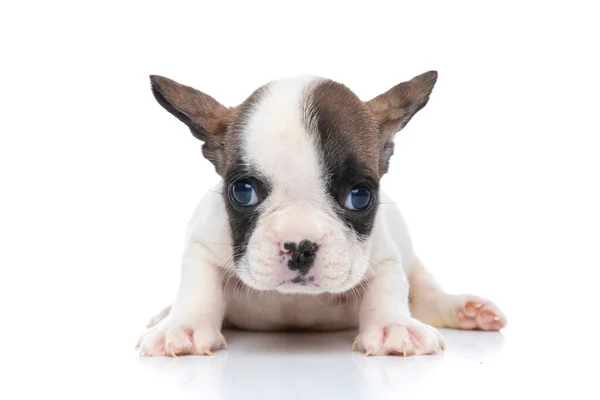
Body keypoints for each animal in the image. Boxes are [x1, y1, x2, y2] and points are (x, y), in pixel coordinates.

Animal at [136, 70, 506, 358]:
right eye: (242, 192)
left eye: (360, 196)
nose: (299, 246)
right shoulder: (204, 242)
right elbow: (198, 284)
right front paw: (183, 325)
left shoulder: (384, 253)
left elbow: (388, 285)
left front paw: (393, 325)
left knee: (427, 292)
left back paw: (464, 310)